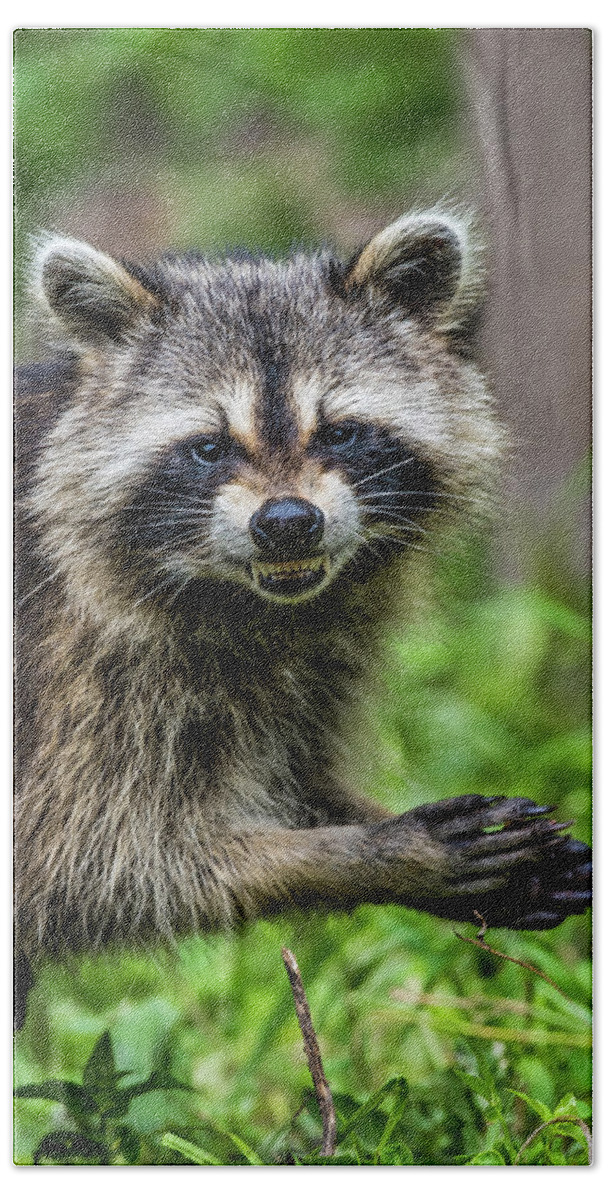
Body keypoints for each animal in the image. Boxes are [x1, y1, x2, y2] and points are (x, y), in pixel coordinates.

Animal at [14, 211, 592, 1008]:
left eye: (342, 431)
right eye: (208, 447)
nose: (286, 522)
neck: (255, 607)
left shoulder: (309, 663)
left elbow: (293, 780)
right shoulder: (80, 676)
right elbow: (93, 864)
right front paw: (373, 853)